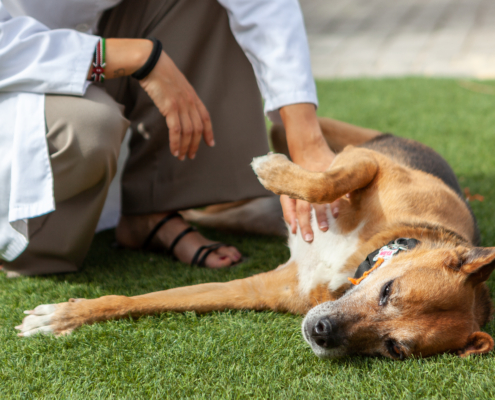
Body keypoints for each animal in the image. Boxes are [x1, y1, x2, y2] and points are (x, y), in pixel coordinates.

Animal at [15, 118, 495, 360]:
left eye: (393, 348)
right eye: (388, 291)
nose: (322, 333)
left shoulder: (255, 289)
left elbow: (148, 300)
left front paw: (65, 316)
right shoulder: (369, 163)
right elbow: (328, 180)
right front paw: (273, 169)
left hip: (250, 218)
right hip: (339, 140)